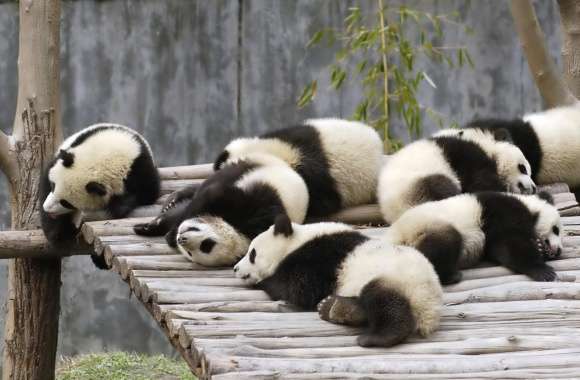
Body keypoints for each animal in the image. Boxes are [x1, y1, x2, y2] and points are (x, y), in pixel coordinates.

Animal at [40, 124, 161, 268]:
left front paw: (118, 205)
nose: (47, 208)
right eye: (53, 186)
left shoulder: (139, 167)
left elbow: (148, 193)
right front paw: (57, 233)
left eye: (66, 202)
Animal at [134, 153, 310, 266]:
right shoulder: (251, 206)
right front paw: (163, 230)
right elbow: (209, 196)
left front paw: (166, 233)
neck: (239, 230)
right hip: (249, 166)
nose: (181, 239)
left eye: (205, 247)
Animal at [233, 215, 442, 346]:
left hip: (400, 279)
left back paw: (376, 337)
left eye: (252, 254)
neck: (297, 241)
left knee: (384, 300)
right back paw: (334, 308)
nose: (235, 269)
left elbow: (300, 288)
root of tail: (430, 310)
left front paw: (264, 281)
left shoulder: (320, 257)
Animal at [386, 191, 560, 284]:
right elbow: (509, 244)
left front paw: (539, 248)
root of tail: (395, 236)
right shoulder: (503, 213)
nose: (558, 251)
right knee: (443, 245)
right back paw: (450, 276)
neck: (530, 207)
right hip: (425, 227)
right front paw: (543, 271)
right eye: (556, 230)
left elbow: (498, 250)